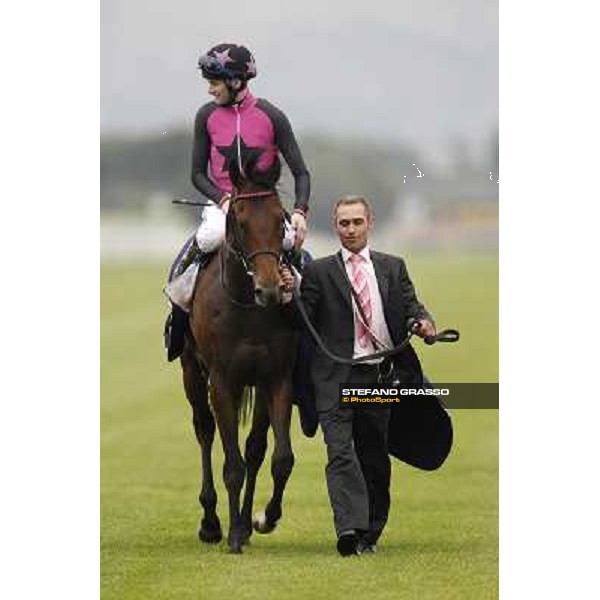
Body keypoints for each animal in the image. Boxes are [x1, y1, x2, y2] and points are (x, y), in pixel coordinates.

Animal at [179, 156, 298, 552]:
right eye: (241, 221)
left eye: (281, 220)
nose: (270, 289)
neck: (247, 307)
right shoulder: (221, 380)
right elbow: (232, 465)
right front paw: (231, 534)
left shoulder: (277, 377)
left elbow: (279, 458)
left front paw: (262, 519)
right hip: (191, 370)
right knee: (204, 430)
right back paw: (212, 523)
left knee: (256, 448)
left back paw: (244, 523)